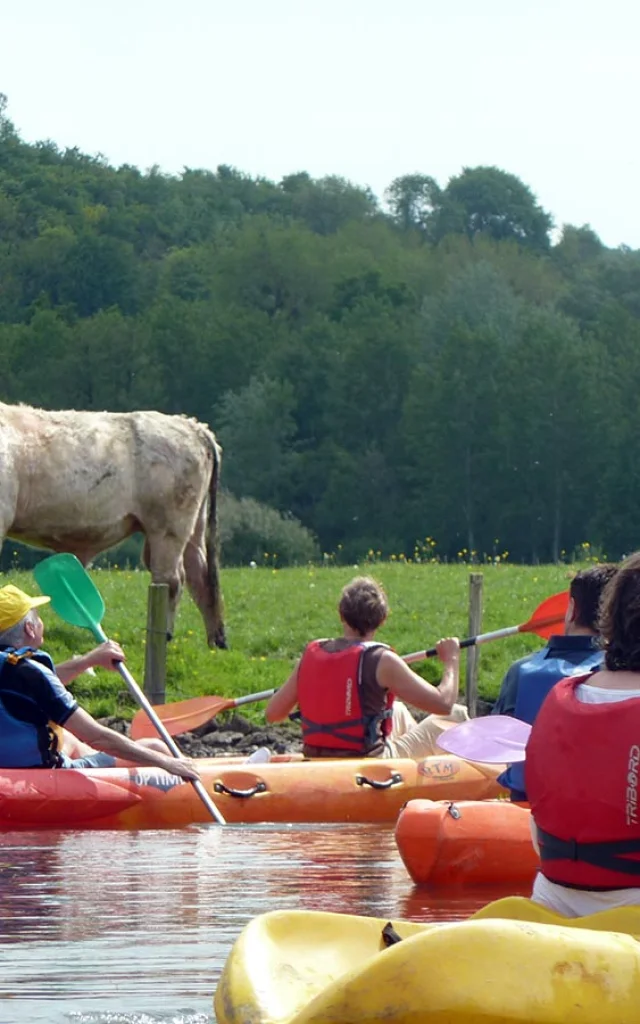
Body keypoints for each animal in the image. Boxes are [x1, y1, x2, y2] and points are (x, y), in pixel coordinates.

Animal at [0, 401, 227, 647]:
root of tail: (192, 424)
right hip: (193, 527)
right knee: (200, 575)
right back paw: (215, 641)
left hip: (169, 528)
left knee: (172, 580)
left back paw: (165, 634)